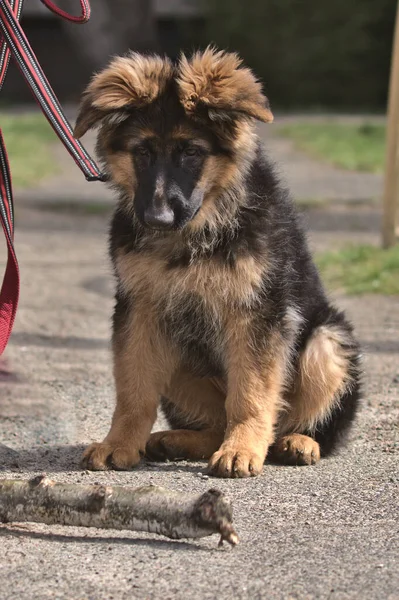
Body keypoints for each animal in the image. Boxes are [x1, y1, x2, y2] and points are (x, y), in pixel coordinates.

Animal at [75, 48, 362, 478]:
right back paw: (176, 440)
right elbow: (134, 388)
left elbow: (251, 393)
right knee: (213, 424)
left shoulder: (257, 312)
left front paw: (241, 449)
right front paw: (119, 444)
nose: (157, 219)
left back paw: (297, 442)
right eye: (142, 152)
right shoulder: (139, 309)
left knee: (300, 421)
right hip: (176, 351)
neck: (199, 225)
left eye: (192, 153)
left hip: (328, 340)